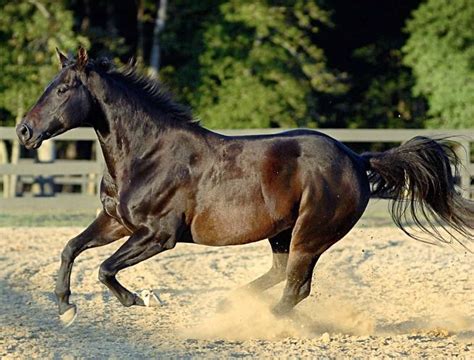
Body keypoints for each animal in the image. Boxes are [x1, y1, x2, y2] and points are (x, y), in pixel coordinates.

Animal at [16, 47, 472, 326]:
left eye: (62, 89)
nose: (24, 131)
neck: (147, 154)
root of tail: (357, 160)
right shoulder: (116, 222)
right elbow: (71, 248)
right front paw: (65, 308)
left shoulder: (158, 235)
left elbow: (105, 269)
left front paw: (144, 298)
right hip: (282, 233)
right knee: (282, 274)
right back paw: (229, 304)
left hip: (311, 234)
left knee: (297, 287)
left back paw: (252, 321)